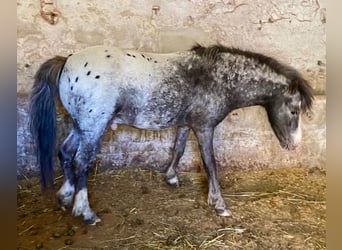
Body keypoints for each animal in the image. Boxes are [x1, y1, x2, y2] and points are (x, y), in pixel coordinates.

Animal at [30, 43, 314, 225]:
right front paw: (219, 204)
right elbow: (210, 164)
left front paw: (171, 177)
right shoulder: (204, 127)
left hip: (80, 126)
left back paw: (65, 196)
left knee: (65, 153)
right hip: (93, 127)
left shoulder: (186, 124)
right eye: (294, 110)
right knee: (81, 162)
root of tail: (68, 60)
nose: (295, 146)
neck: (217, 77)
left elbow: (178, 149)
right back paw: (85, 211)